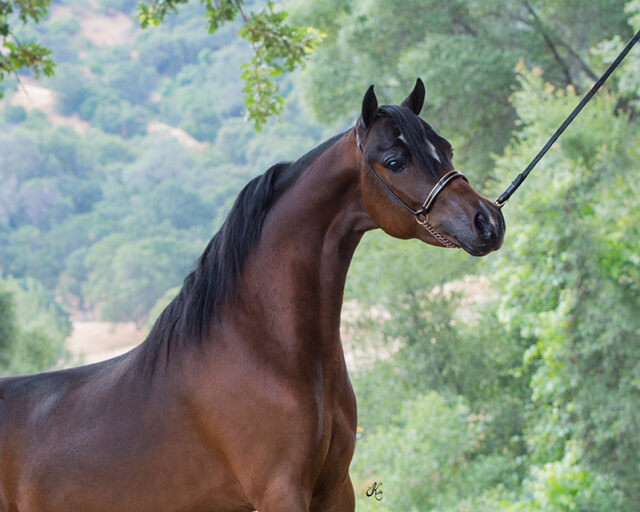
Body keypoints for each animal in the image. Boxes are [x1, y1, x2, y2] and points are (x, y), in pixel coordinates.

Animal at [0, 79, 505, 512]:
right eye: (396, 162)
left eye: (446, 148)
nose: (488, 221)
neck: (264, 351)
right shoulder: (280, 491)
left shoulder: (335, 489)